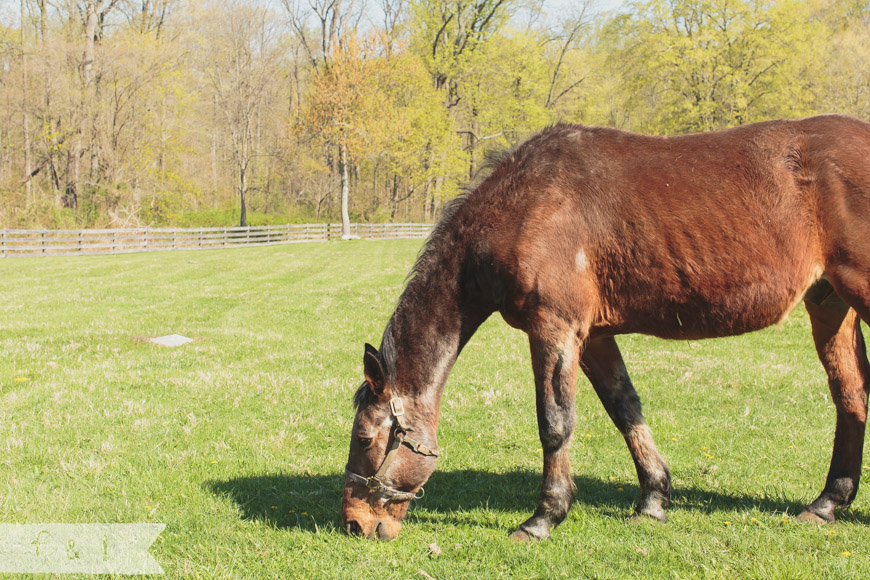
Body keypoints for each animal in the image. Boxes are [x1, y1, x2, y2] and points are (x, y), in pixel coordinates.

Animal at [340, 115, 870, 540]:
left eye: (365, 439)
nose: (354, 523)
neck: (524, 206)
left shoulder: (554, 329)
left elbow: (555, 424)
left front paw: (544, 517)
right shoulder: (593, 336)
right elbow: (625, 409)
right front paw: (653, 500)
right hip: (830, 304)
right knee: (851, 397)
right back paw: (827, 503)